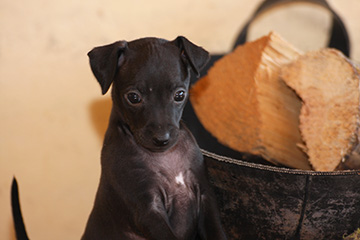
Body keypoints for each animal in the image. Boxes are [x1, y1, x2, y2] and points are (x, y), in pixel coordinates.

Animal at [82, 36, 225, 240]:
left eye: (180, 95)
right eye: (133, 97)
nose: (161, 139)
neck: (164, 156)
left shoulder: (206, 197)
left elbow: (216, 231)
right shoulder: (148, 210)